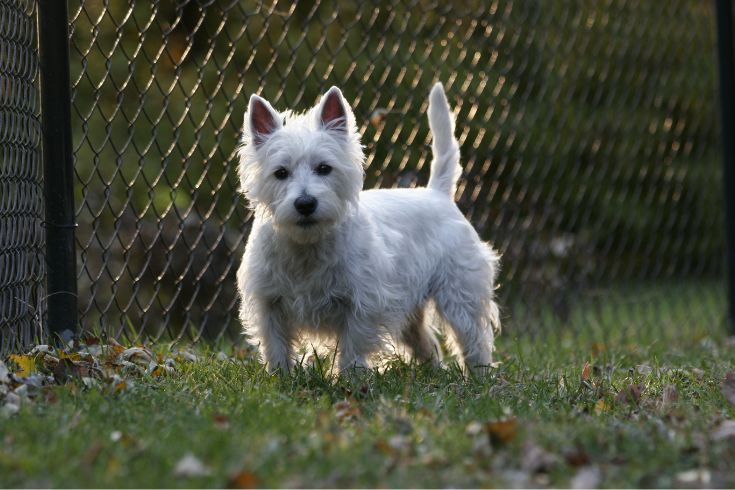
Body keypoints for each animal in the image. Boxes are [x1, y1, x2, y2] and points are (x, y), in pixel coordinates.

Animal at [236, 82, 500, 372]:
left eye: (324, 168)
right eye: (280, 173)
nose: (305, 203)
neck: (307, 246)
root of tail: (437, 193)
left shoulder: (364, 302)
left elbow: (353, 346)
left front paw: (350, 377)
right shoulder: (268, 303)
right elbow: (276, 346)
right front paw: (281, 376)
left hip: (459, 292)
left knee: (473, 337)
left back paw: (479, 374)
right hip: (413, 309)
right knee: (426, 342)